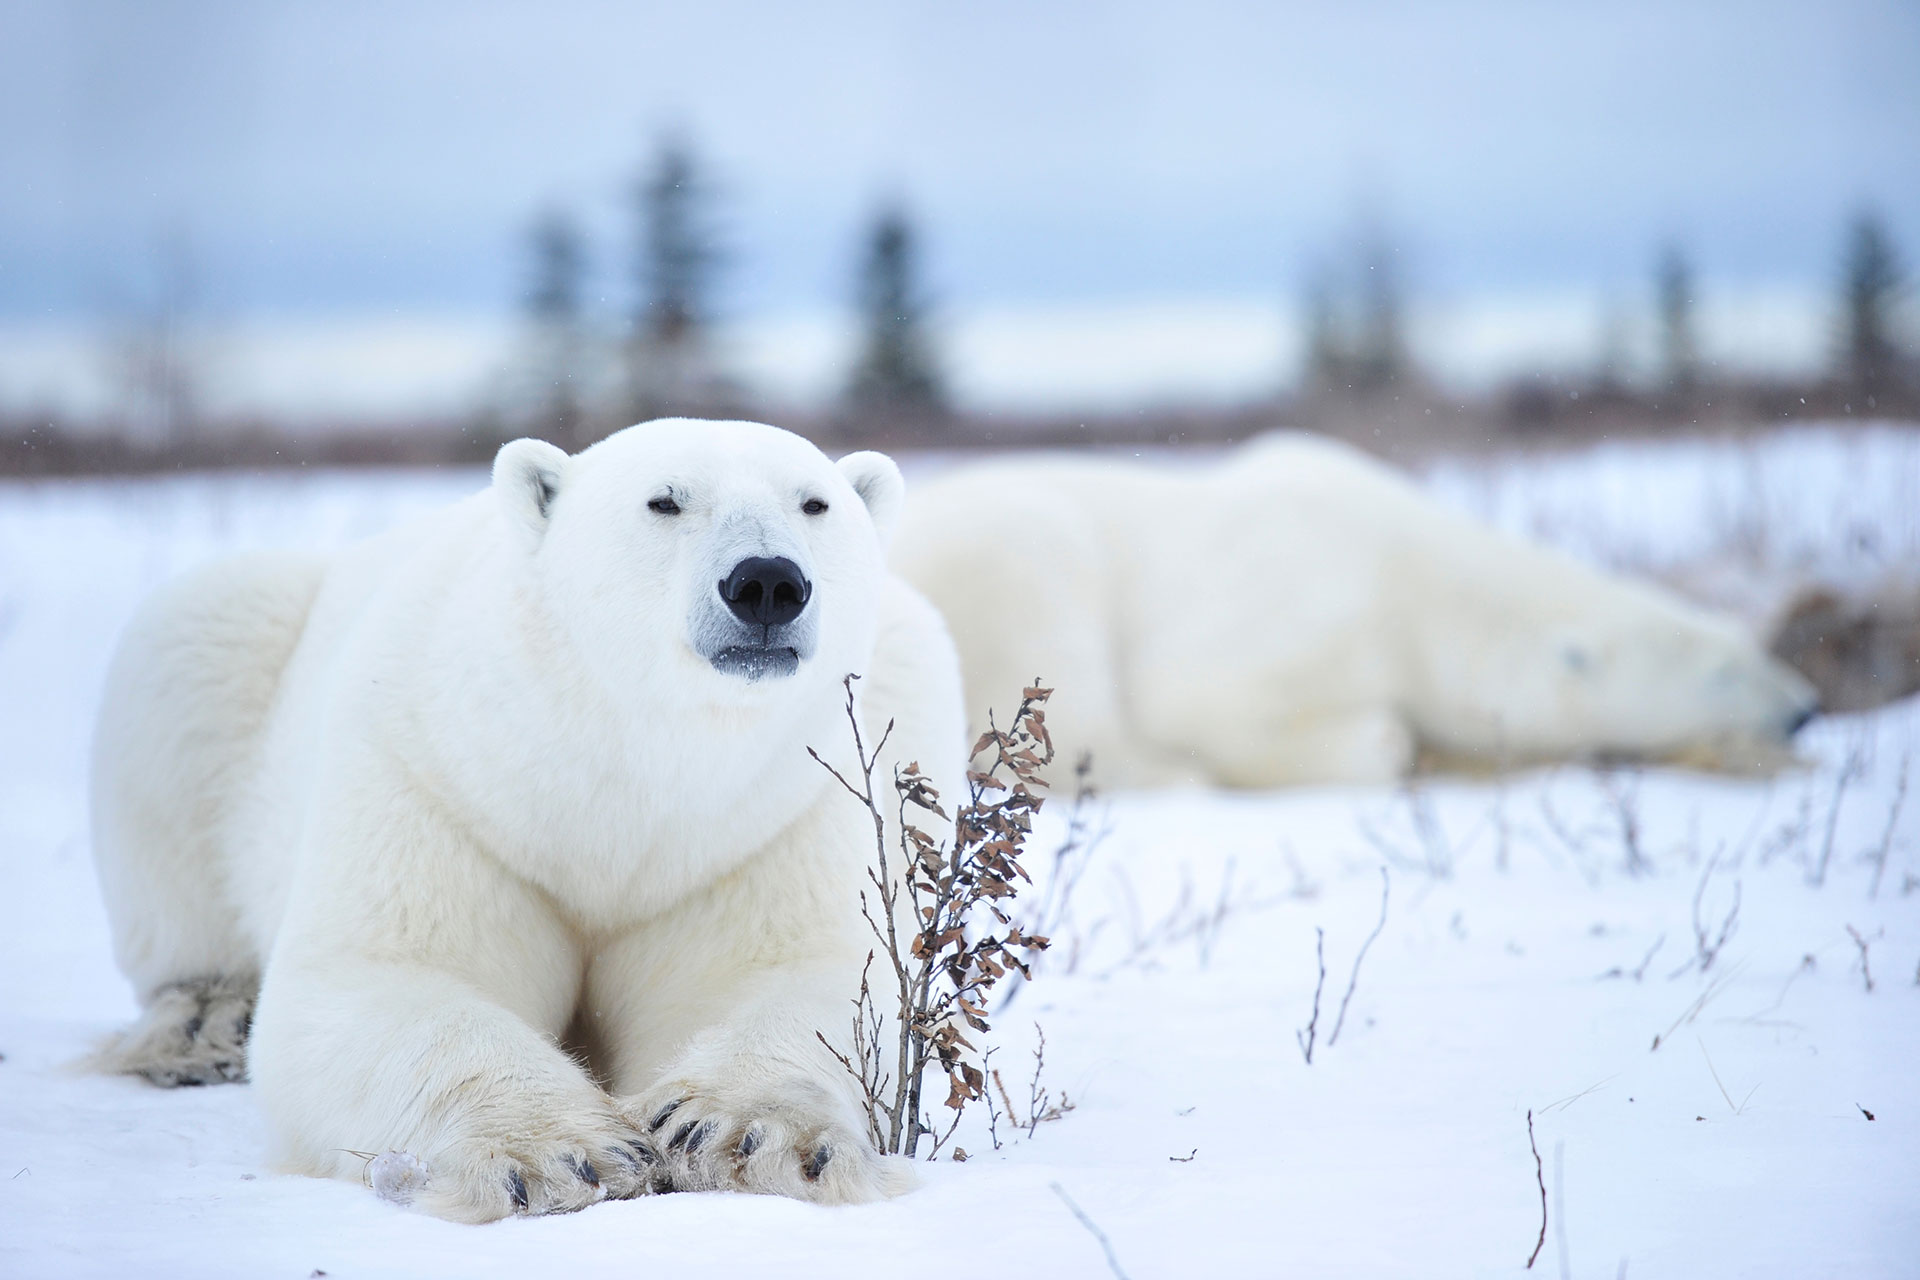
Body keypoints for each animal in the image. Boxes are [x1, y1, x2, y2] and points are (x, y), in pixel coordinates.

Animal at [88, 418, 960, 1220]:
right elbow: (385, 974)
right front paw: (560, 1153)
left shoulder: (760, 823)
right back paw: (201, 1022)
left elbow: (803, 978)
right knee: (189, 663)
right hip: (233, 657)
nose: (768, 582)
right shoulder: (442, 780)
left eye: (814, 502)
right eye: (665, 500)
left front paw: (738, 1132)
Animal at [883, 433, 1812, 790]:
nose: (1804, 709)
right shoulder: (1304, 600)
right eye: (1724, 670)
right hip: (1009, 558)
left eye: (1751, 644)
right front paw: (1392, 743)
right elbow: (1204, 699)